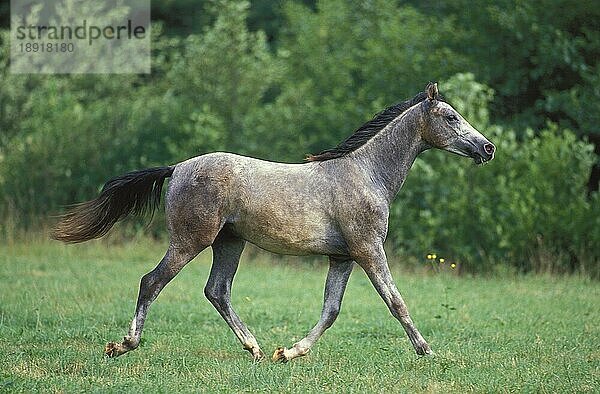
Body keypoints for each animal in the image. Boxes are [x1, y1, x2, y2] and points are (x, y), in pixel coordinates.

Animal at [52, 81, 492, 362]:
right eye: (451, 117)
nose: (487, 148)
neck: (367, 174)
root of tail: (177, 168)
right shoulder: (369, 250)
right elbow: (395, 300)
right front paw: (427, 351)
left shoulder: (343, 258)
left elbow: (331, 310)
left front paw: (289, 352)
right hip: (190, 241)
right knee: (152, 282)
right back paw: (123, 345)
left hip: (229, 242)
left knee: (217, 291)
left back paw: (256, 348)